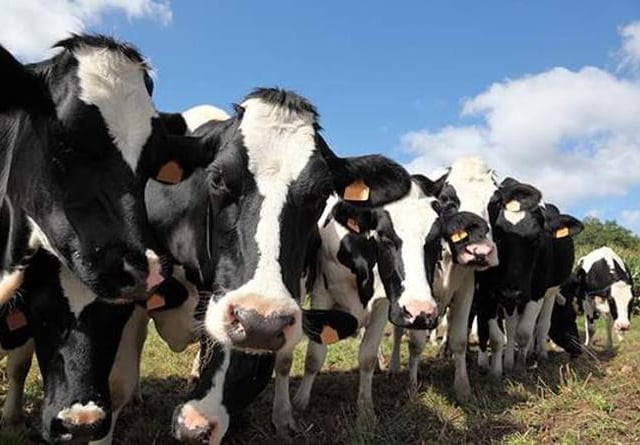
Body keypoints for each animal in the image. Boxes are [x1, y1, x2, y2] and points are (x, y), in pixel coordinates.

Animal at [290, 174, 495, 419]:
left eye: (435, 239)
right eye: (385, 237)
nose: (419, 311)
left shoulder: (383, 303)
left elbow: (367, 356)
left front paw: (366, 410)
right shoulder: (322, 293)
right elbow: (314, 356)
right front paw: (300, 401)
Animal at [475, 179, 583, 378]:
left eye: (537, 238)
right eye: (498, 237)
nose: (577, 349)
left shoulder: (537, 291)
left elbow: (525, 331)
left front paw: (520, 366)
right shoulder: (493, 290)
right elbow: (502, 333)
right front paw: (502, 368)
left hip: (551, 291)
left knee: (542, 325)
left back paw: (539, 353)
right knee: (512, 326)